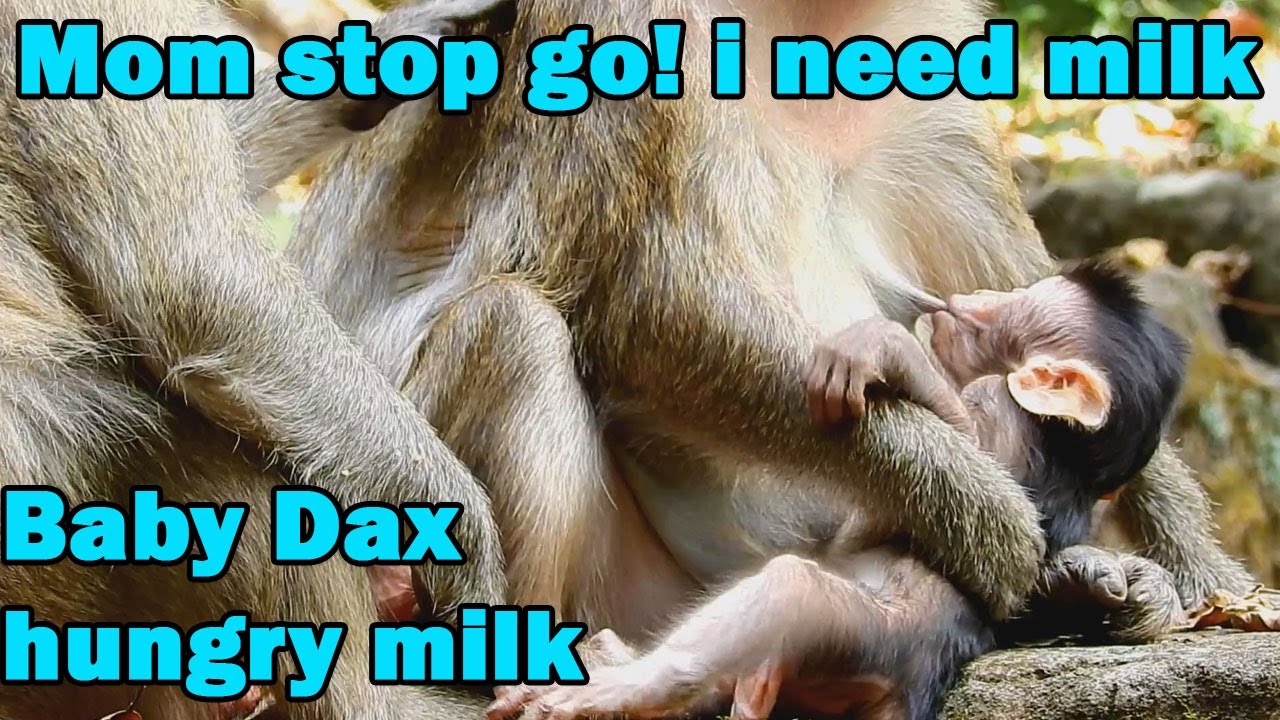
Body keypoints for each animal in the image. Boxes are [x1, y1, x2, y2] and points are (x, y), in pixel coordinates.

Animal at [285, 0, 1254, 657]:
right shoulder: (627, 27)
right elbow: (655, 306)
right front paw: (976, 509)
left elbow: (1007, 269)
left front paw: (1206, 577)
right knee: (511, 327)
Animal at [484, 258, 1190, 720]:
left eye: (1010, 304)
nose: (970, 295)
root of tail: (915, 687)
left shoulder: (1000, 406)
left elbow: (972, 484)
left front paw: (886, 348)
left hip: (871, 642)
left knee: (792, 592)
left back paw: (630, 687)